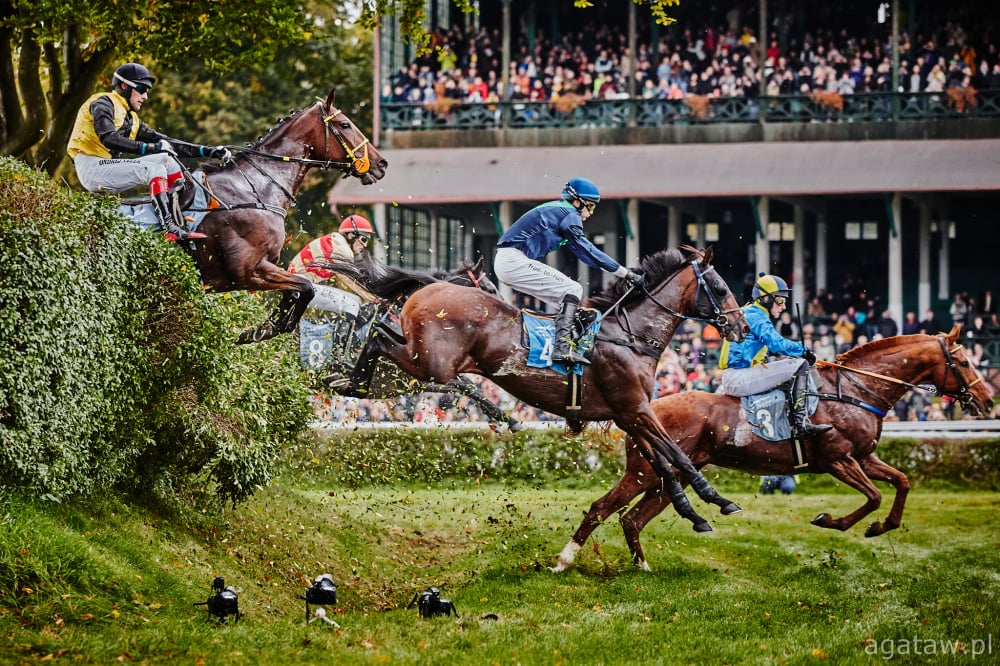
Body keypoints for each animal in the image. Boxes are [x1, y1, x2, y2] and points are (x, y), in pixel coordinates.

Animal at [172, 89, 382, 342]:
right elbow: (306, 288)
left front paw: (262, 329)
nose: (381, 163)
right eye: (345, 124)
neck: (256, 188)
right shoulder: (248, 272)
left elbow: (295, 293)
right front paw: (261, 330)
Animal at [332, 246, 752, 532]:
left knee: (380, 334)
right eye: (719, 287)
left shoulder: (628, 415)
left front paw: (690, 510)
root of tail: (430, 288)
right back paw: (351, 379)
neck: (631, 336)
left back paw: (349, 380)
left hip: (425, 360)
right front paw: (716, 499)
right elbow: (675, 456)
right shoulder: (637, 409)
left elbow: (661, 463)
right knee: (380, 337)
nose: (743, 327)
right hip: (431, 364)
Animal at [552, 324, 996, 568]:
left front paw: (880, 527)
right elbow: (871, 496)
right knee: (602, 508)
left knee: (632, 519)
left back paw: (643, 567)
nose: (988, 401)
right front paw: (831, 520)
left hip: (674, 476)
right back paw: (564, 561)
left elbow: (901, 482)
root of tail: (640, 408)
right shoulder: (838, 459)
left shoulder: (865, 455)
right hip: (644, 472)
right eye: (964, 361)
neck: (854, 390)